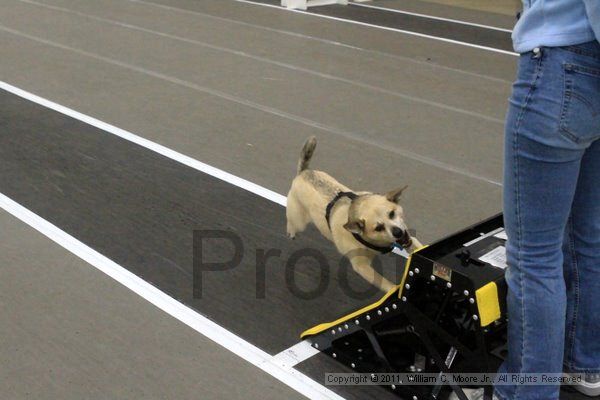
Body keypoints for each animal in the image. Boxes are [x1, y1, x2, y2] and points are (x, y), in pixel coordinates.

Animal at [286, 136, 422, 292]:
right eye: (378, 227)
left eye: (392, 213)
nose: (398, 232)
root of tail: (303, 173)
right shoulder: (362, 267)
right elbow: (385, 284)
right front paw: (395, 290)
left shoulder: (408, 238)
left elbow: (417, 246)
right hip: (299, 220)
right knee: (292, 221)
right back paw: (291, 232)